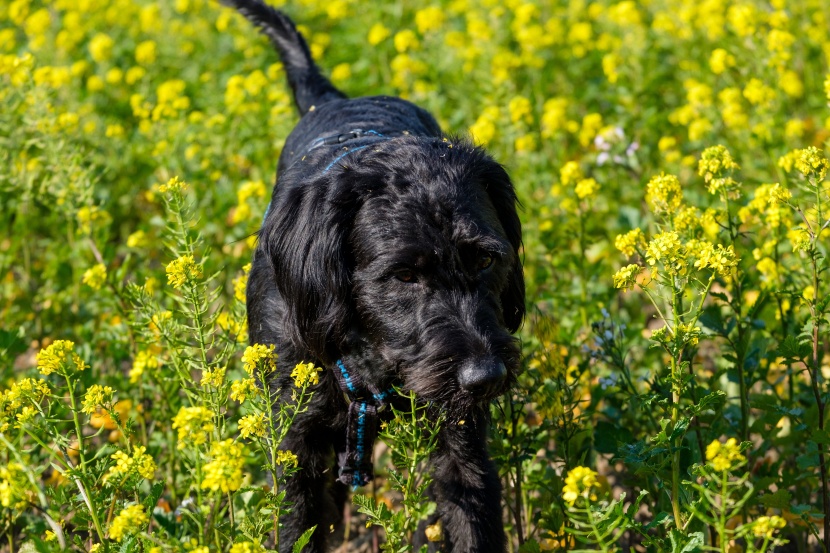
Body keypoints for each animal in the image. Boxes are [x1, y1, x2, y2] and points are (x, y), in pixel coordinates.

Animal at [228, 2, 528, 548]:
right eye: (404, 275)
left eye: (485, 261)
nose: (485, 377)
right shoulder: (297, 440)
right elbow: (297, 526)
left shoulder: (460, 441)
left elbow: (470, 511)